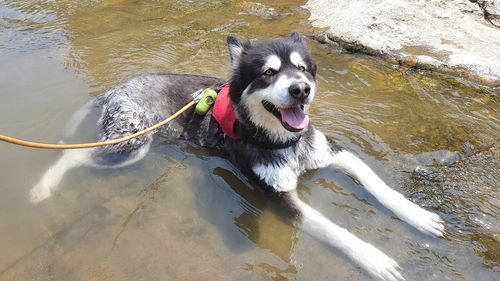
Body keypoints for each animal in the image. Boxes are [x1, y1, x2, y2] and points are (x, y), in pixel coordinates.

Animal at [30, 33, 446, 280]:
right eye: (268, 73)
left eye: (303, 68)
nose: (301, 89)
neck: (282, 141)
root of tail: (118, 88)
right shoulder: (278, 197)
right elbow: (336, 230)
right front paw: (374, 258)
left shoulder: (330, 151)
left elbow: (379, 185)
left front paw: (419, 216)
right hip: (131, 145)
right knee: (74, 157)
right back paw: (41, 187)